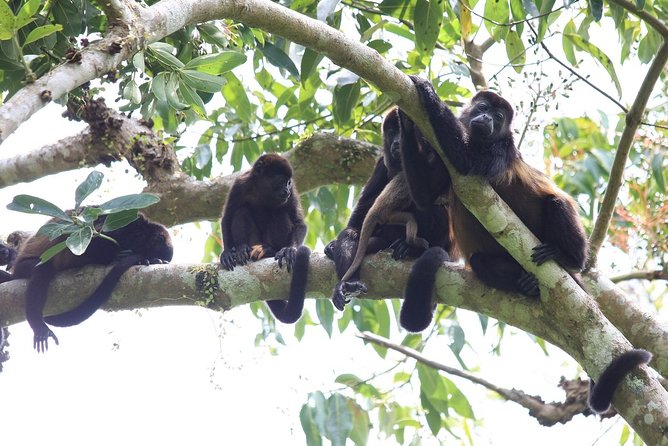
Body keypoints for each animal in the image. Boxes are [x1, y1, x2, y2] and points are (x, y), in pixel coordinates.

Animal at [11, 213, 173, 352]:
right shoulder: (126, 226)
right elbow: (93, 240)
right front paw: (140, 258)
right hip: (23, 267)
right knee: (43, 269)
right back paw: (38, 326)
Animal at [220, 153, 310, 324]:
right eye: (281, 181)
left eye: (289, 182)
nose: (286, 190)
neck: (262, 191)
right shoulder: (239, 185)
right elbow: (227, 217)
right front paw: (227, 253)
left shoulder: (293, 192)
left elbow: (299, 223)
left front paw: (290, 250)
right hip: (254, 239)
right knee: (241, 212)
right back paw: (242, 249)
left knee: (279, 213)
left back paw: (269, 249)